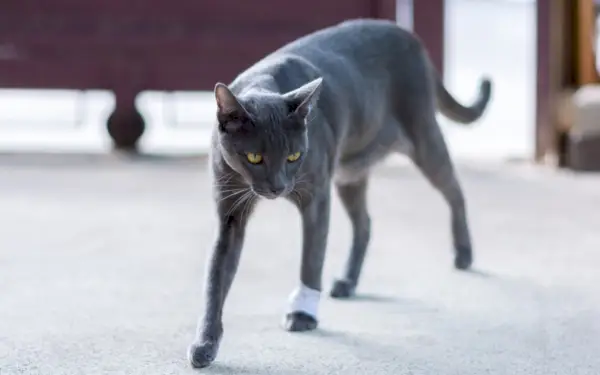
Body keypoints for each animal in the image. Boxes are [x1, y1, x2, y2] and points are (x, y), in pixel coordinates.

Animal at [189, 18, 492, 370]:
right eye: (254, 157)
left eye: (294, 156)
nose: (278, 187)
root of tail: (408, 34)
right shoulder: (230, 213)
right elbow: (216, 277)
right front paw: (205, 343)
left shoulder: (316, 198)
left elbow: (311, 258)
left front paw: (302, 313)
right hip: (350, 172)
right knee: (365, 223)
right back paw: (348, 281)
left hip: (423, 139)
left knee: (455, 190)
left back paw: (463, 252)